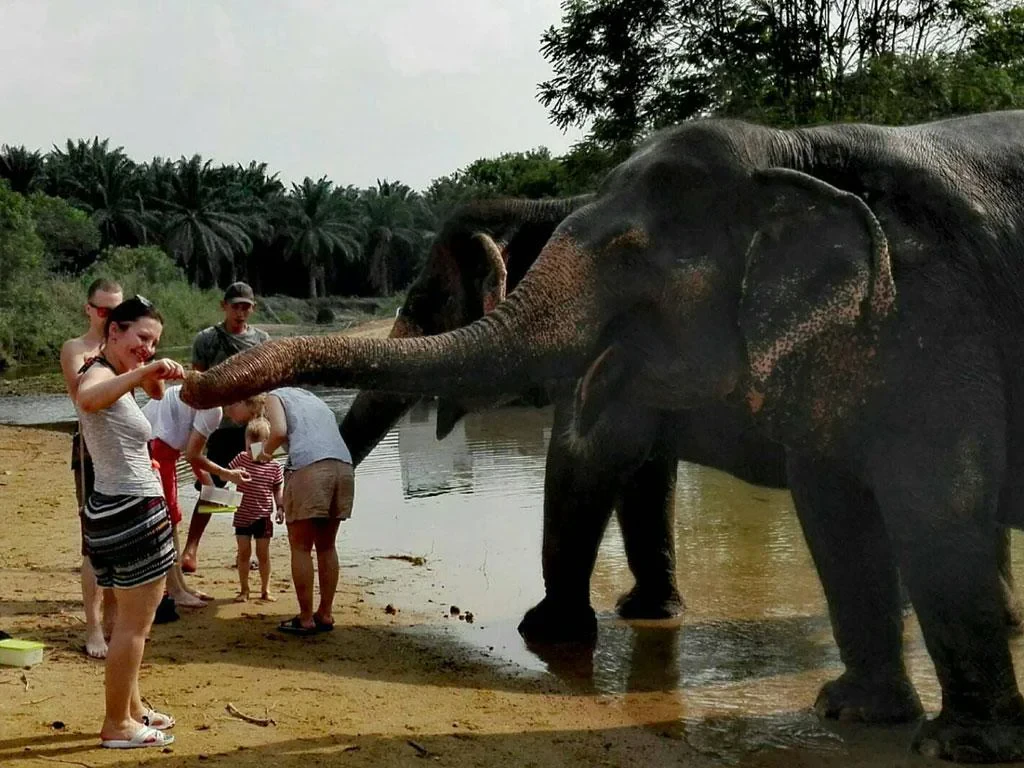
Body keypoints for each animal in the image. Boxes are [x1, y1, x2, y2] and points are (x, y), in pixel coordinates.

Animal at [183, 110, 1024, 761]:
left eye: (425, 302)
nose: (191, 383)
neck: (793, 150)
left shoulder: (935, 316)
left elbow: (588, 453)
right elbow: (808, 502)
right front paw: (843, 710)